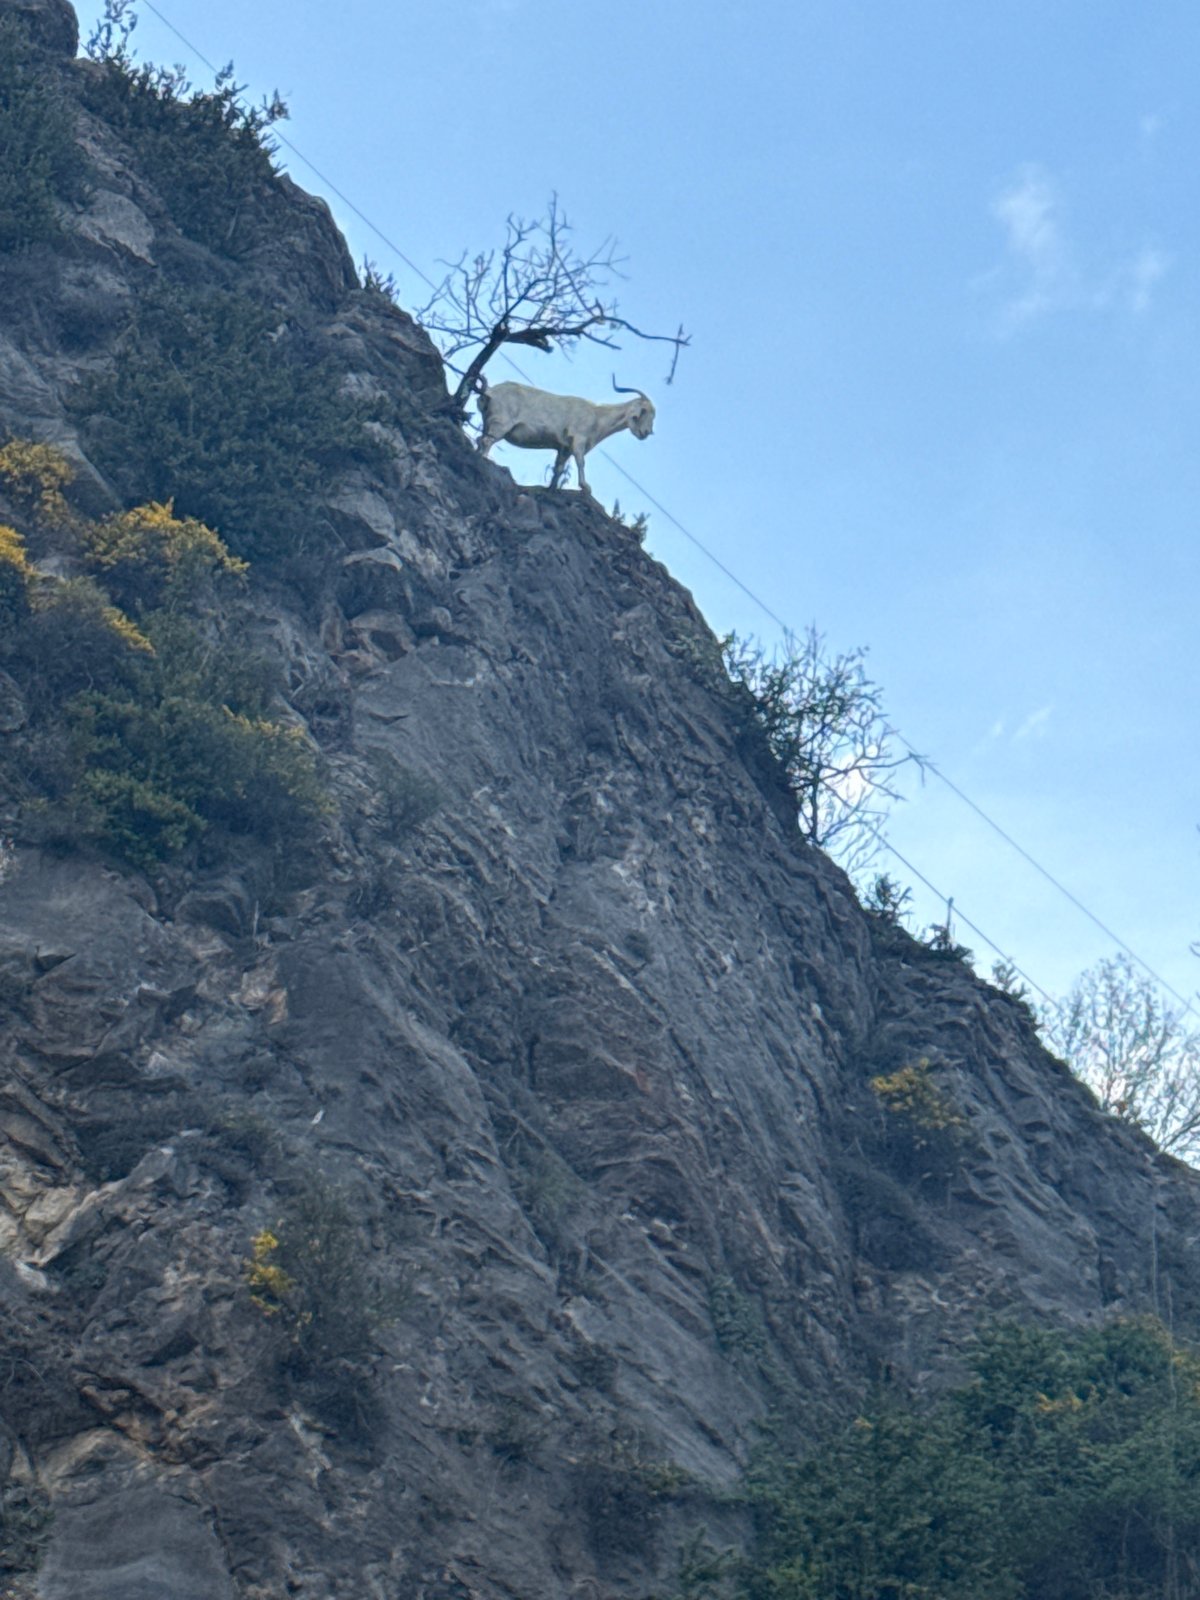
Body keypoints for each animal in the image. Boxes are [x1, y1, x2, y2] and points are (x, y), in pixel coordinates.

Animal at [476, 377, 655, 495]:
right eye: (645, 411)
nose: (645, 433)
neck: (597, 416)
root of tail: (489, 391)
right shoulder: (578, 439)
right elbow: (581, 462)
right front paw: (585, 486)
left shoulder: (564, 448)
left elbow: (559, 467)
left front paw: (551, 489)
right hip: (501, 423)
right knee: (487, 440)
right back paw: (485, 459)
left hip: (488, 422)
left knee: (480, 439)